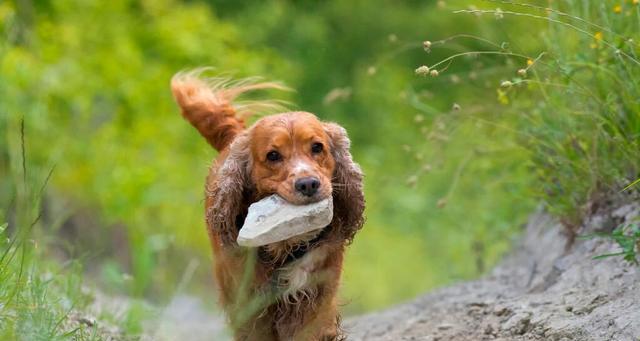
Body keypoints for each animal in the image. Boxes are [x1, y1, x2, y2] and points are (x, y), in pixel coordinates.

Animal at [170, 70, 364, 338]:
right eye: (273, 155)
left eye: (317, 147)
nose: (308, 184)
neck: (287, 248)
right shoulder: (250, 302)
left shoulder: (317, 296)